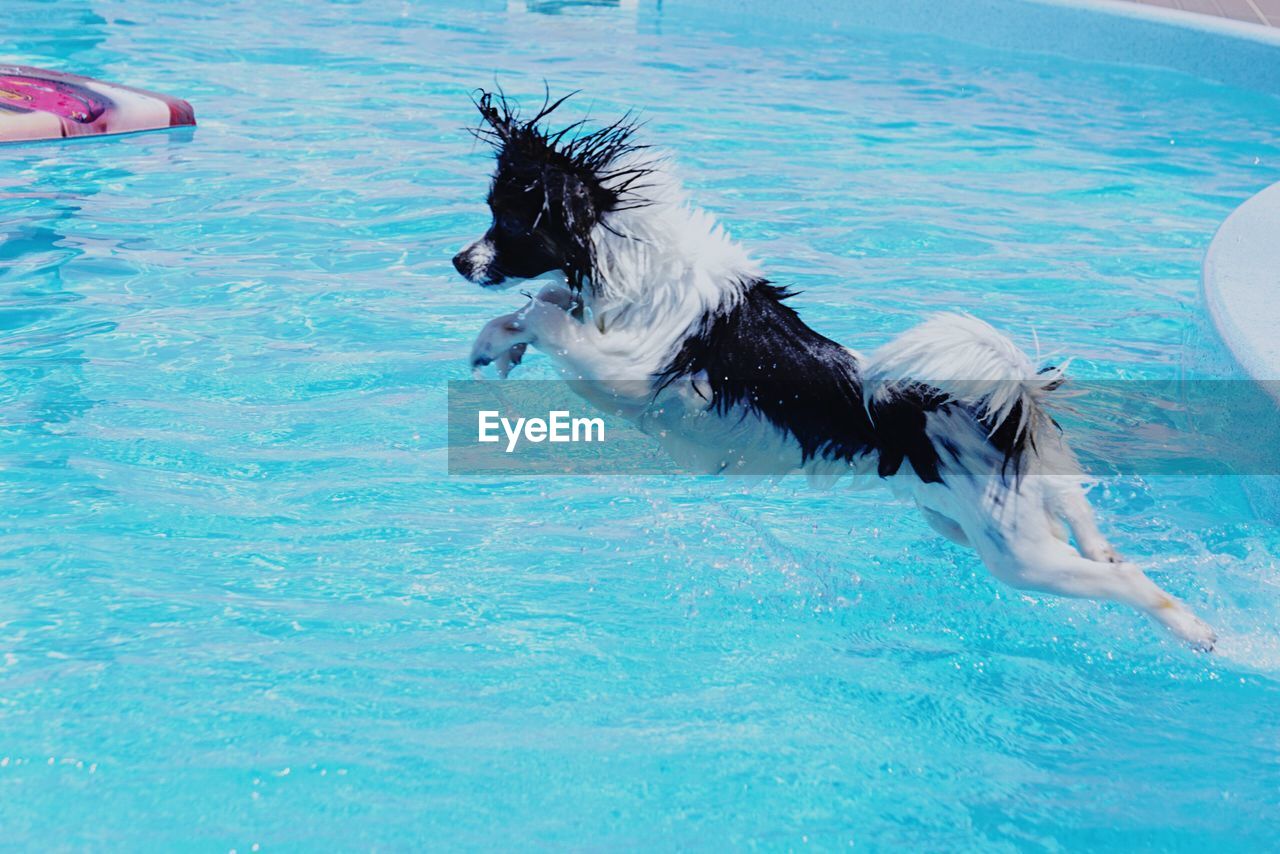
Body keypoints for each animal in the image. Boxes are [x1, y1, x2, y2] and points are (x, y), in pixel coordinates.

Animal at [453, 90, 1218, 650]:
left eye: (506, 222)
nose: (458, 262)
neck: (626, 259)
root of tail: (996, 414)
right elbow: (542, 305)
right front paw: (494, 345)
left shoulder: (626, 371)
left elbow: (548, 312)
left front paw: (510, 333)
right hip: (982, 516)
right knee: (1080, 516)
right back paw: (1108, 548)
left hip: (1016, 553)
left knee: (1130, 582)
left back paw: (1196, 631)